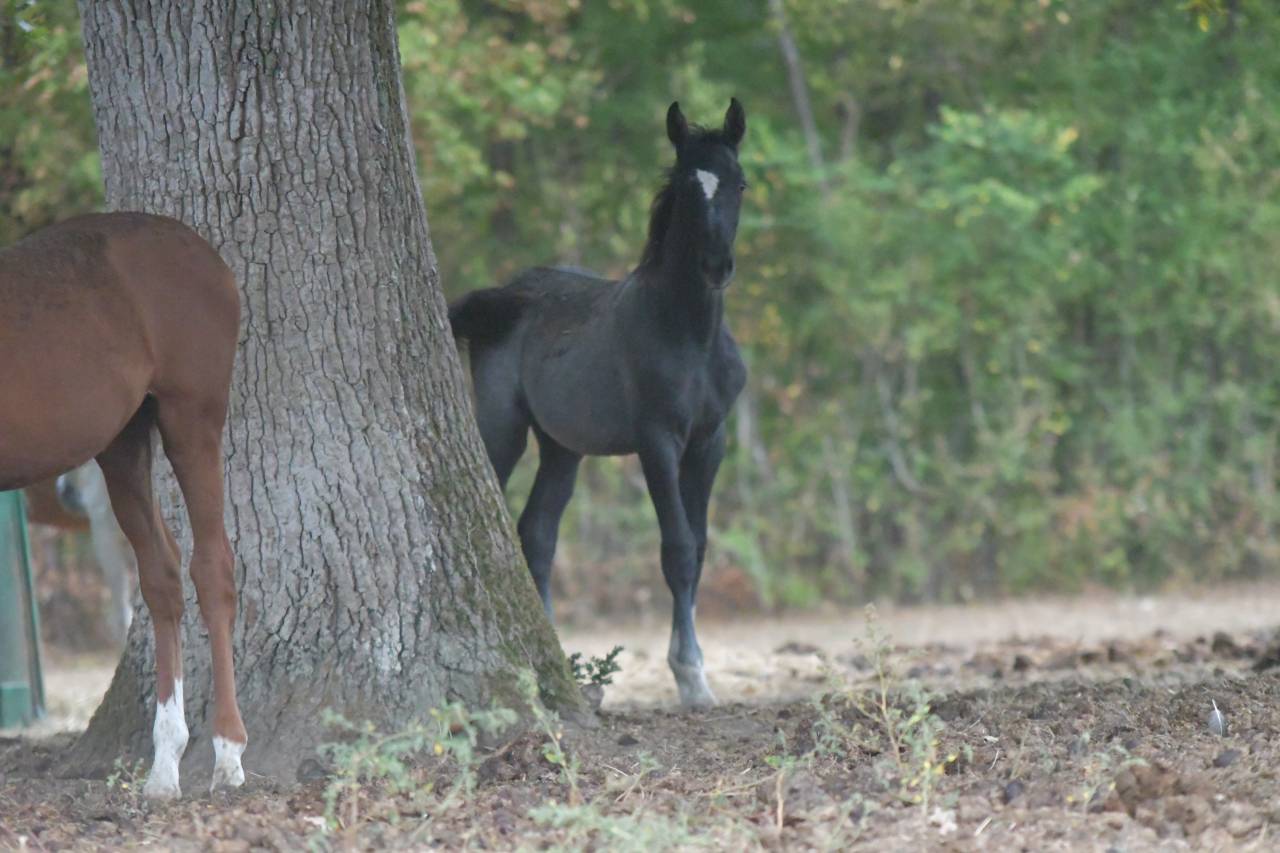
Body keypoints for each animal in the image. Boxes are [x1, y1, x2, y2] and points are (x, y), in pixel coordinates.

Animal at [449, 99, 749, 708]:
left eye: (740, 184)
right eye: (686, 186)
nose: (717, 267)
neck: (688, 334)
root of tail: (507, 295)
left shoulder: (711, 441)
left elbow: (701, 546)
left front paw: (695, 672)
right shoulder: (657, 442)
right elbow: (677, 549)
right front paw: (690, 675)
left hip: (562, 447)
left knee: (537, 533)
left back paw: (559, 655)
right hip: (504, 427)